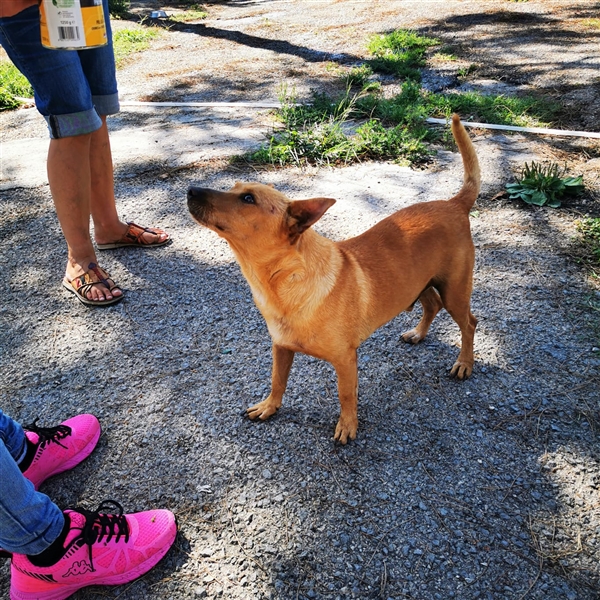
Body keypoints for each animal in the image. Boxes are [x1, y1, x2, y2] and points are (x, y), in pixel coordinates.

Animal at [187, 114, 480, 444]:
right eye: (235, 187)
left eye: (248, 199)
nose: (190, 190)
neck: (283, 283)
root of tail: (454, 203)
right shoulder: (280, 348)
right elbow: (277, 381)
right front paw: (269, 407)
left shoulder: (345, 360)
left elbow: (346, 395)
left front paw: (347, 425)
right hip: (419, 283)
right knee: (431, 305)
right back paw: (418, 333)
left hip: (454, 290)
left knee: (469, 323)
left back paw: (464, 364)